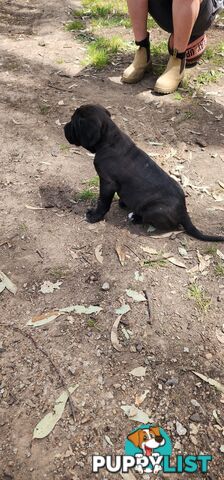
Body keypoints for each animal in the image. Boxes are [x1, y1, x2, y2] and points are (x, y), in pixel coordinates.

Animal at [64, 103, 224, 242]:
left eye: (74, 122)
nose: (64, 127)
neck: (109, 140)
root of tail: (183, 211)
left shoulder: (107, 183)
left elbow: (102, 202)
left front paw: (95, 216)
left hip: (154, 210)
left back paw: (135, 217)